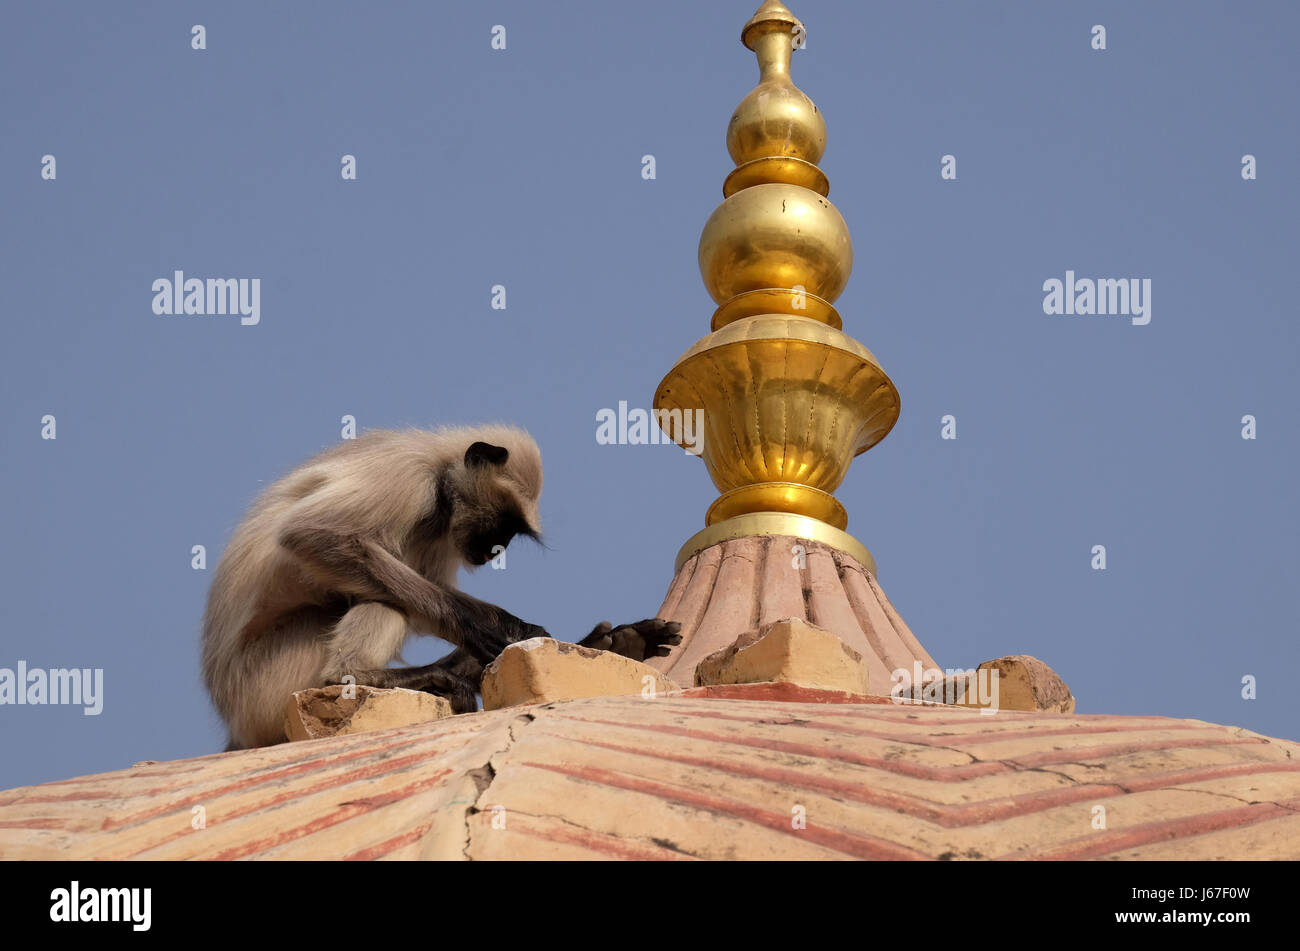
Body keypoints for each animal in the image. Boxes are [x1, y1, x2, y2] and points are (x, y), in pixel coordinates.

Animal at [198, 426, 686, 748]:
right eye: (502, 525)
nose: (495, 550)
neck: (439, 468)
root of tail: (233, 719)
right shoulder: (409, 479)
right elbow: (312, 535)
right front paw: (482, 631)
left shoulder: (440, 522)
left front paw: (522, 631)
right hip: (268, 678)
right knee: (383, 598)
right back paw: (365, 676)